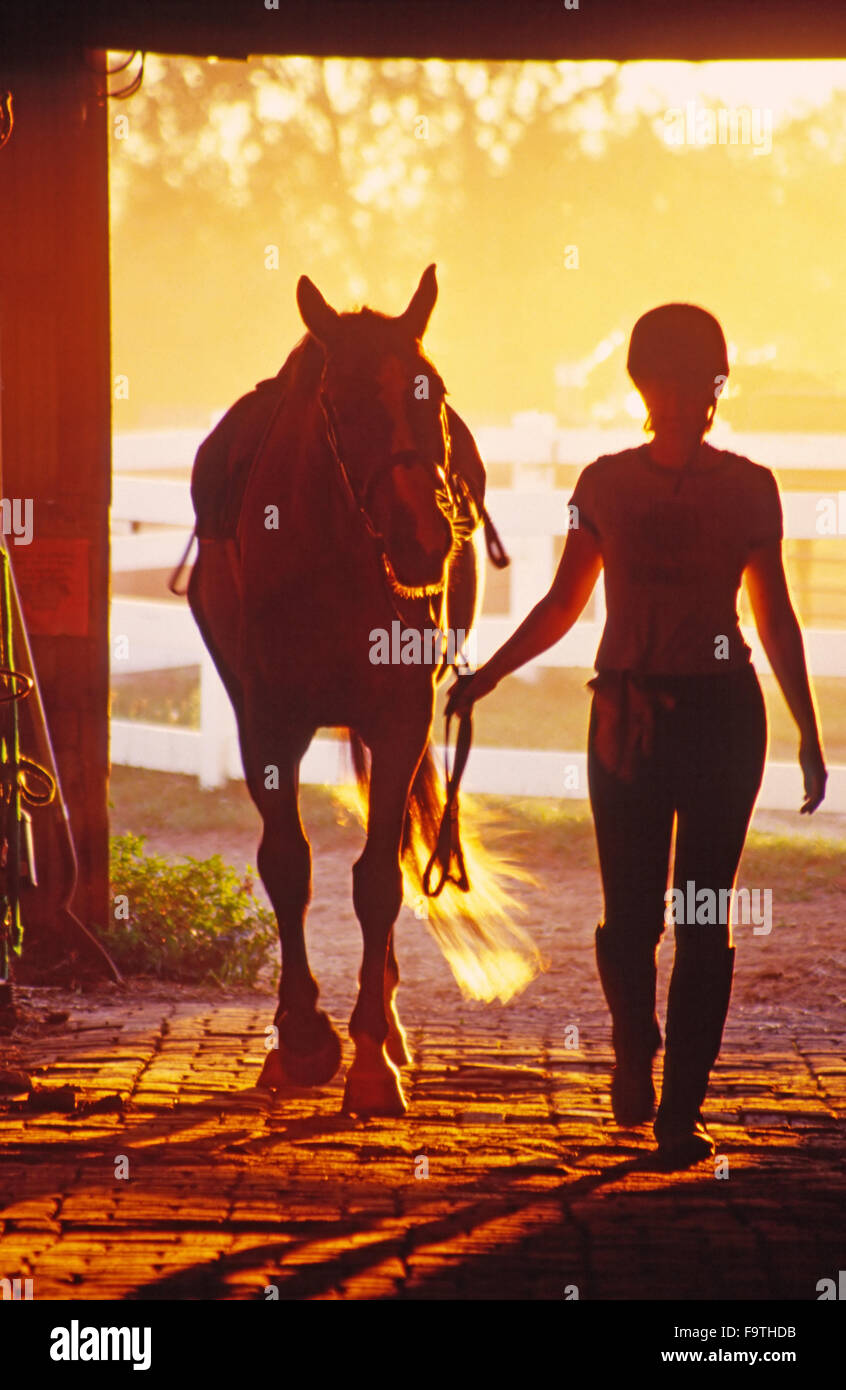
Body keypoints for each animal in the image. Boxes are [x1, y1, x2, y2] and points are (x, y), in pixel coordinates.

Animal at [186, 265, 541, 1117]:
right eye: (339, 404)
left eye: (433, 392)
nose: (424, 538)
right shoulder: (266, 724)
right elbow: (288, 864)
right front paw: (300, 1039)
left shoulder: (401, 718)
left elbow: (379, 880)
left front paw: (373, 1058)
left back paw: (388, 1021)